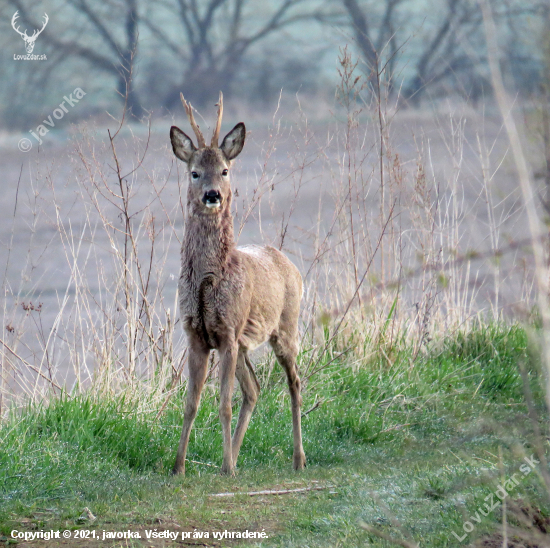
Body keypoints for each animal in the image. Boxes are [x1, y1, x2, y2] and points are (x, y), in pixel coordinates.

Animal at [170, 93, 306, 476]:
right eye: (194, 172)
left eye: (225, 170)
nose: (213, 194)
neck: (207, 283)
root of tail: (289, 263)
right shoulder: (196, 334)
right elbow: (191, 403)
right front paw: (178, 467)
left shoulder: (228, 332)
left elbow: (223, 403)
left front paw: (229, 467)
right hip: (246, 343)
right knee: (255, 389)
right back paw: (228, 459)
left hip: (285, 327)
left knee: (294, 383)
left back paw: (297, 459)